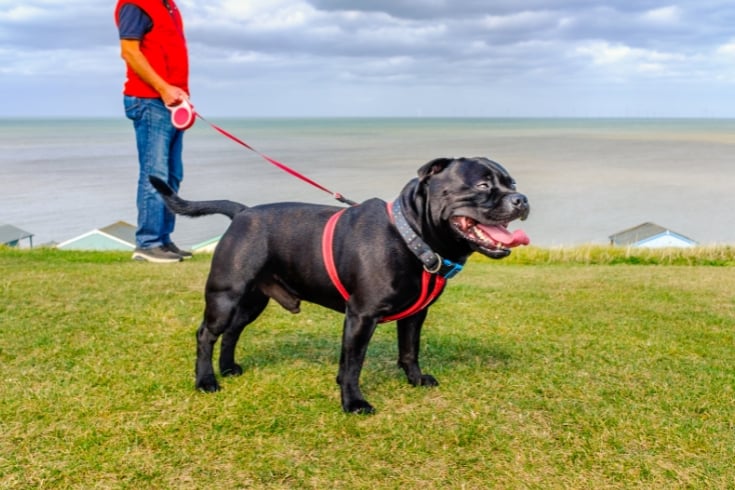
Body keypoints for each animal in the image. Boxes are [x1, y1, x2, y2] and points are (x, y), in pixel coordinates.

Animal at [150, 157, 528, 414]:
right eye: (482, 186)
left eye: (511, 183)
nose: (521, 199)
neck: (411, 235)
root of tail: (241, 212)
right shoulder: (361, 316)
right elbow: (352, 363)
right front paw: (353, 402)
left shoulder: (415, 316)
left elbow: (409, 351)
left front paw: (416, 380)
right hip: (225, 296)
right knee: (206, 334)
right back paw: (206, 381)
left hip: (252, 302)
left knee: (232, 332)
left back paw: (228, 368)